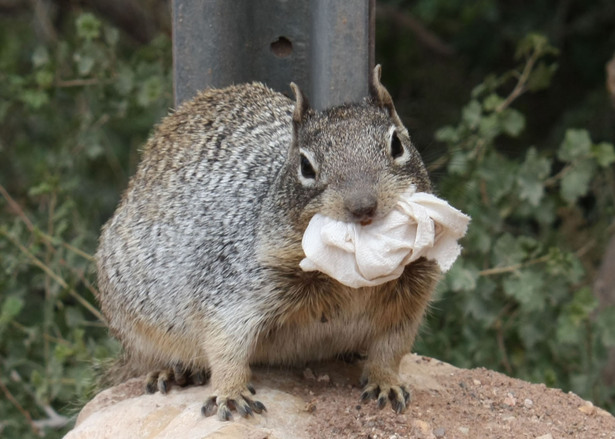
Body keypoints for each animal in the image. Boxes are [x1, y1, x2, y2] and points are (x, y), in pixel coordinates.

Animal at [95, 66, 442, 422]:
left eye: (397, 144)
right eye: (305, 166)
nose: (363, 206)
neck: (350, 275)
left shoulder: (410, 298)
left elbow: (391, 348)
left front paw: (386, 382)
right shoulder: (235, 286)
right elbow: (224, 344)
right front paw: (230, 392)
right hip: (135, 323)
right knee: (145, 359)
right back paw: (170, 371)